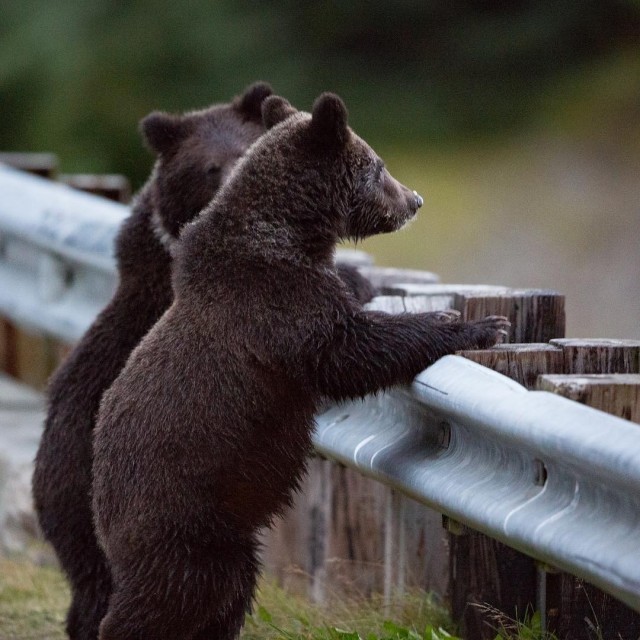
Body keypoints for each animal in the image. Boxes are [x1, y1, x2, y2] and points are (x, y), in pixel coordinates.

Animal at [91, 94, 510, 640]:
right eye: (379, 166)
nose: (415, 200)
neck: (291, 234)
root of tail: (101, 510)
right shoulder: (275, 306)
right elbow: (349, 350)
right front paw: (478, 324)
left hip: (225, 528)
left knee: (227, 588)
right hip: (178, 514)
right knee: (175, 596)